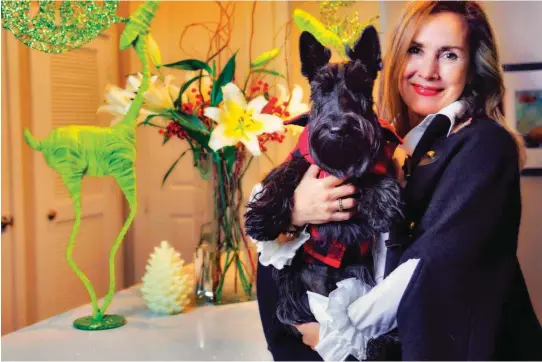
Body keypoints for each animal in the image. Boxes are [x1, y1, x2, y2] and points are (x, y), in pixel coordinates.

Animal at [246, 26, 404, 360]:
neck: (338, 159)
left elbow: (373, 173)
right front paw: (262, 218)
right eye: (321, 88)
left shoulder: (373, 160)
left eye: (360, 85)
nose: (338, 128)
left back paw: (380, 345)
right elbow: (282, 175)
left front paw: (381, 205)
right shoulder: (300, 158)